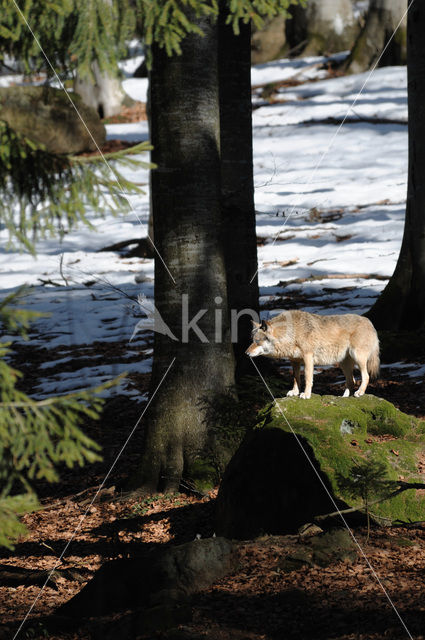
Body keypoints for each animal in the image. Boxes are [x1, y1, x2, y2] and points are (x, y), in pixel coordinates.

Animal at [247, 312, 380, 400]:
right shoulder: (294, 361)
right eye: (252, 340)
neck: (291, 333)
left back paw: (359, 392)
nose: (246, 353)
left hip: (358, 358)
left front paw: (306, 394)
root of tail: (370, 322)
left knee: (366, 376)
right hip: (344, 364)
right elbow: (296, 378)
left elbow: (307, 378)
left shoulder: (308, 357)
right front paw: (295, 392)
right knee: (351, 380)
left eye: (257, 341)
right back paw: (344, 397)